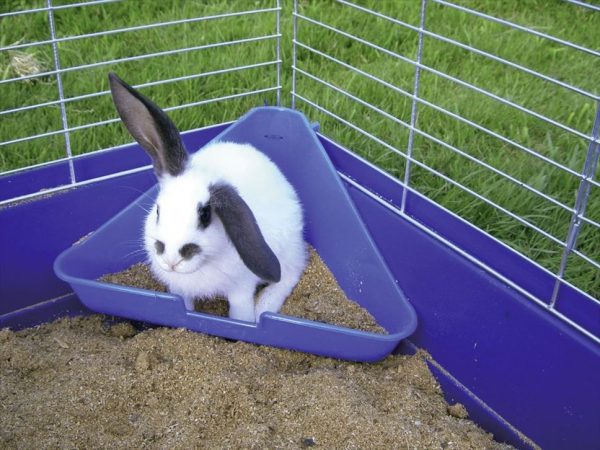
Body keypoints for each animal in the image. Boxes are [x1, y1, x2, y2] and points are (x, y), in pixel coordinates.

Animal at [108, 72, 308, 322]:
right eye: (158, 211)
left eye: (205, 215)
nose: (172, 259)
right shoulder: (178, 290)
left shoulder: (241, 290)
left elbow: (240, 315)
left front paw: (248, 321)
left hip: (289, 251)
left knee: (290, 274)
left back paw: (264, 306)